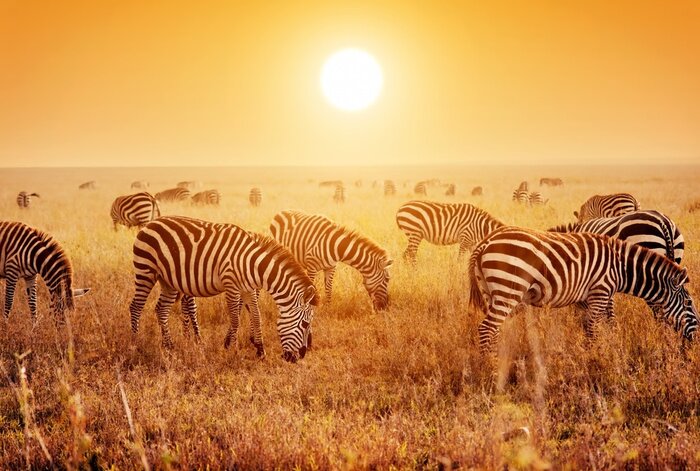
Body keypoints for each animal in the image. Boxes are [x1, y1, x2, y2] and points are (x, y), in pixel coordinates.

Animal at [129, 216, 318, 362]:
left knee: (161, 309)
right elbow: (235, 319)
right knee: (136, 307)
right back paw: (135, 344)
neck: (252, 264)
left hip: (168, 281)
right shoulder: (231, 285)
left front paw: (260, 351)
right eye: (305, 324)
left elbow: (256, 317)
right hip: (146, 270)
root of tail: (151, 223)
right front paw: (232, 351)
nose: (299, 357)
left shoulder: (248, 289)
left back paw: (169, 347)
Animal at [468, 227, 698, 354]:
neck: (620, 267)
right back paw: (489, 368)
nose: (695, 340)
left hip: (491, 291)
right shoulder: (601, 290)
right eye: (689, 304)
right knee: (486, 328)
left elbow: (596, 325)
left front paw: (605, 350)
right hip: (508, 288)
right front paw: (594, 360)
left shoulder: (587, 297)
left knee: (494, 330)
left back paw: (497, 360)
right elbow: (594, 328)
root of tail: (486, 241)